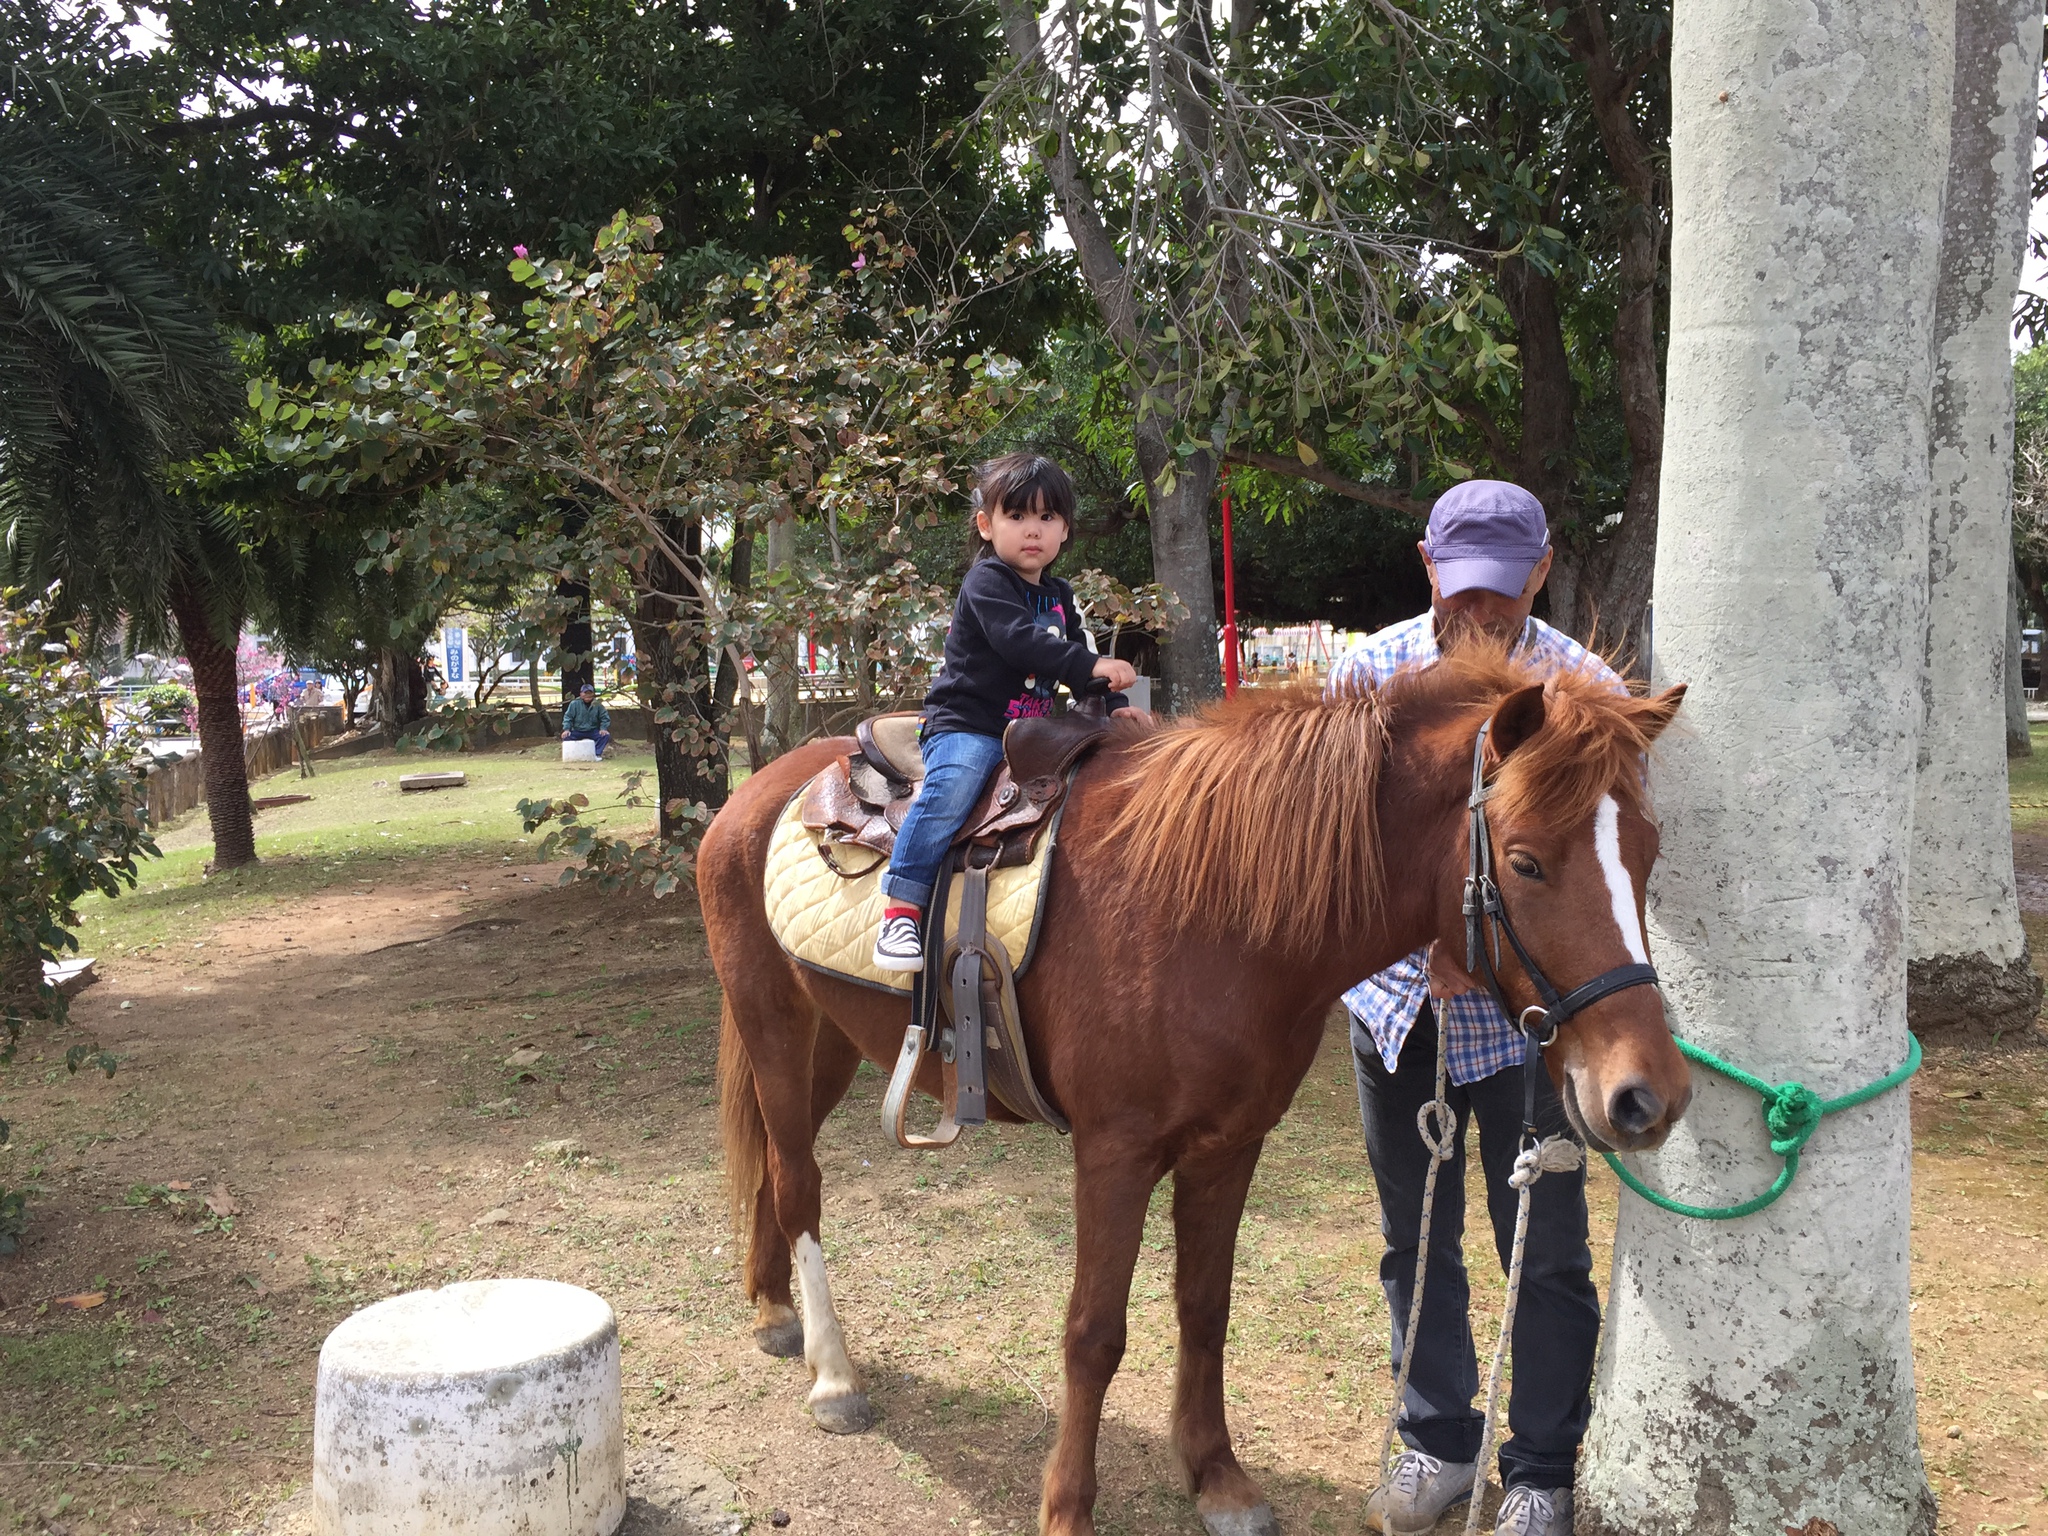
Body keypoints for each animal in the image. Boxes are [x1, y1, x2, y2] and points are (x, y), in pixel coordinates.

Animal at [704, 651, 1695, 1536]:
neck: (1210, 910)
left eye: (1650, 855)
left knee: (775, 1174)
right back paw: (834, 1375)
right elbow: (1093, 1332)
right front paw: (1067, 1509)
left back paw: (773, 1309)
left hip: (831, 1043)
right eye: (1525, 863)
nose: (1648, 1094)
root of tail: (756, 795)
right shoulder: (1114, 1152)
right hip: (777, 1030)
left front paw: (1217, 1479)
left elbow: (1205, 1307)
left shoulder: (1229, 1145)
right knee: (798, 1183)